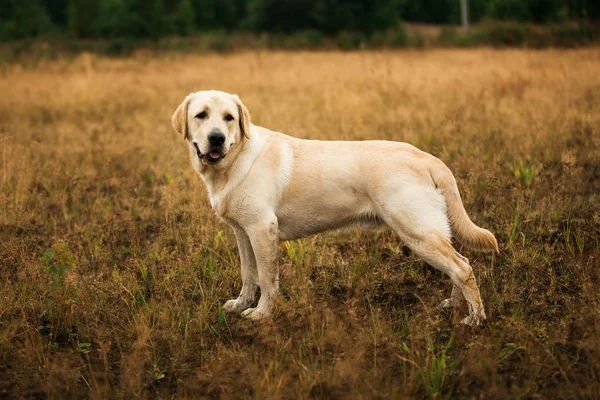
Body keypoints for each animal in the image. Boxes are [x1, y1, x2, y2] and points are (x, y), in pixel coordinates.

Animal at [172, 90, 496, 324]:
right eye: (201, 115)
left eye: (229, 118)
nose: (216, 138)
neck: (234, 159)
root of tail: (427, 158)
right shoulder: (243, 232)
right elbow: (248, 274)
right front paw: (240, 304)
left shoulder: (263, 230)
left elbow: (266, 278)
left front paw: (261, 314)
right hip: (428, 233)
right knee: (460, 263)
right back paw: (454, 305)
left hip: (417, 232)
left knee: (462, 268)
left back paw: (475, 320)